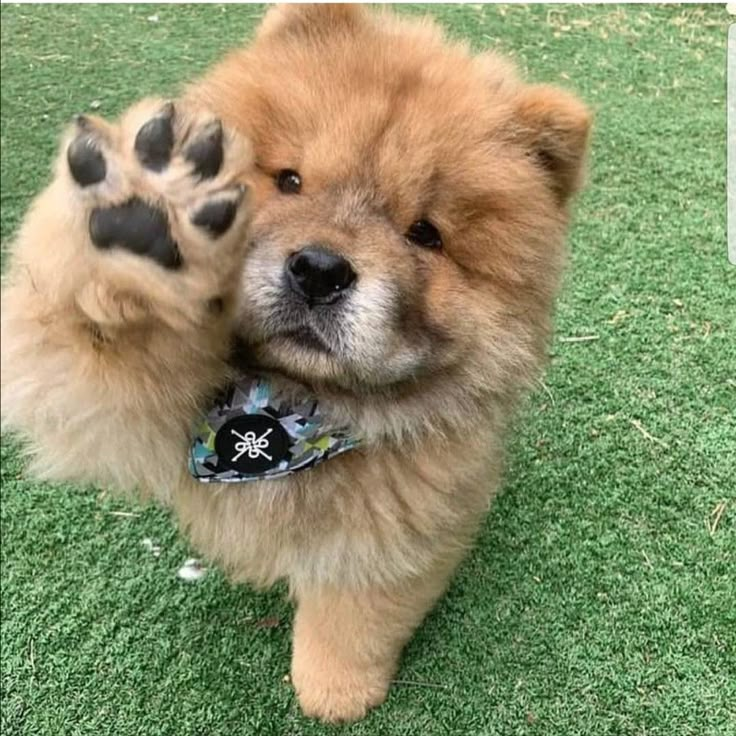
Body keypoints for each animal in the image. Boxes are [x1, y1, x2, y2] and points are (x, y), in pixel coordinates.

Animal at [0, 2, 588, 720]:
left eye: (424, 234)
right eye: (290, 181)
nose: (320, 270)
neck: (280, 413)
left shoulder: (404, 520)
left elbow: (356, 609)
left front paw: (334, 689)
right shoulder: (113, 402)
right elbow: (83, 346)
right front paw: (146, 218)